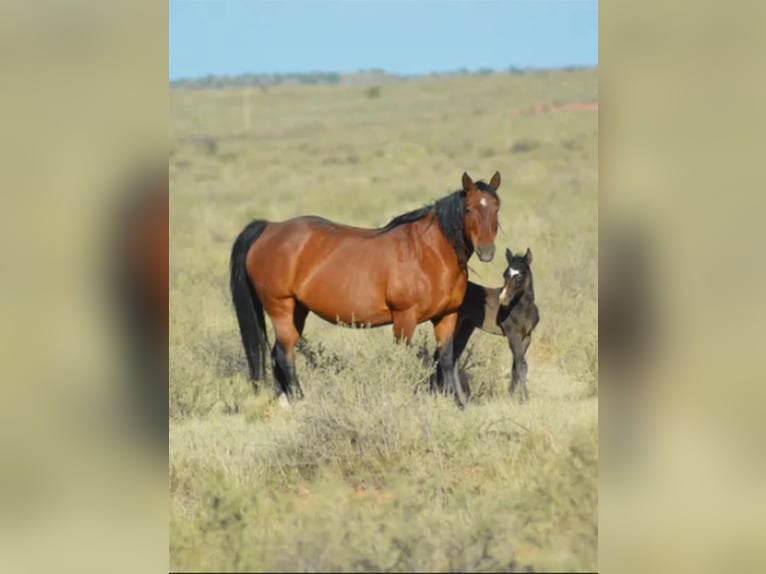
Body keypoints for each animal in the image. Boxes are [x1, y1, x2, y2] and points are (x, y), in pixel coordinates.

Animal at [432, 248, 540, 404]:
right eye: (505, 274)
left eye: (519, 277)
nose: (503, 299)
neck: (523, 308)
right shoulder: (512, 334)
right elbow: (521, 365)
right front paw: (525, 399)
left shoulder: (526, 337)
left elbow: (516, 366)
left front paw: (511, 397)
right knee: (440, 356)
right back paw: (440, 392)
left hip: (466, 328)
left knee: (454, 358)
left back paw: (459, 396)